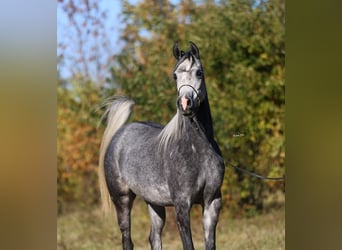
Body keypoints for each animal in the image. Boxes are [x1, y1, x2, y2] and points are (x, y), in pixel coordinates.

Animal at [99, 42, 224, 249]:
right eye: (175, 75)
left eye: (199, 72)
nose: (185, 103)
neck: (197, 150)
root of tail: (120, 133)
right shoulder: (182, 206)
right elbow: (188, 245)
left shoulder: (212, 203)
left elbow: (210, 244)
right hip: (122, 200)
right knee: (127, 239)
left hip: (154, 202)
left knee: (154, 237)